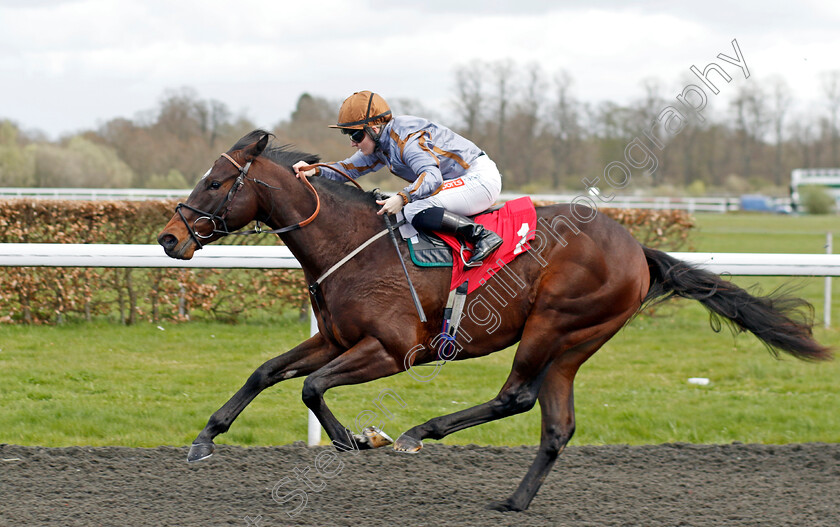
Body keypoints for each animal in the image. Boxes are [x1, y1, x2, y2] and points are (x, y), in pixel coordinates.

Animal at [154, 130, 832, 512]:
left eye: (215, 182)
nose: (167, 238)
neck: (351, 243)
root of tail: (637, 248)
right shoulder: (335, 337)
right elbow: (268, 371)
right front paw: (205, 439)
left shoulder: (391, 349)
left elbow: (312, 388)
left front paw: (357, 440)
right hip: (576, 343)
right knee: (556, 424)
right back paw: (514, 500)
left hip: (554, 325)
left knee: (516, 398)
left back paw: (417, 433)